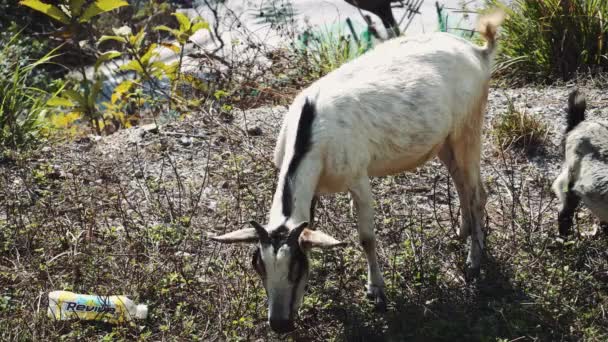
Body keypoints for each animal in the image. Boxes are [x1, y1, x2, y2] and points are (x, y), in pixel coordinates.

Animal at [211, 11, 506, 334]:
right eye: (258, 264)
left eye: (295, 266)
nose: (279, 323)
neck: (310, 132)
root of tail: (479, 52)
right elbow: (311, 223)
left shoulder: (358, 177)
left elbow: (366, 238)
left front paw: (376, 292)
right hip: (445, 139)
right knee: (461, 181)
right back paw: (461, 232)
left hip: (470, 123)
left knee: (477, 192)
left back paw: (474, 261)